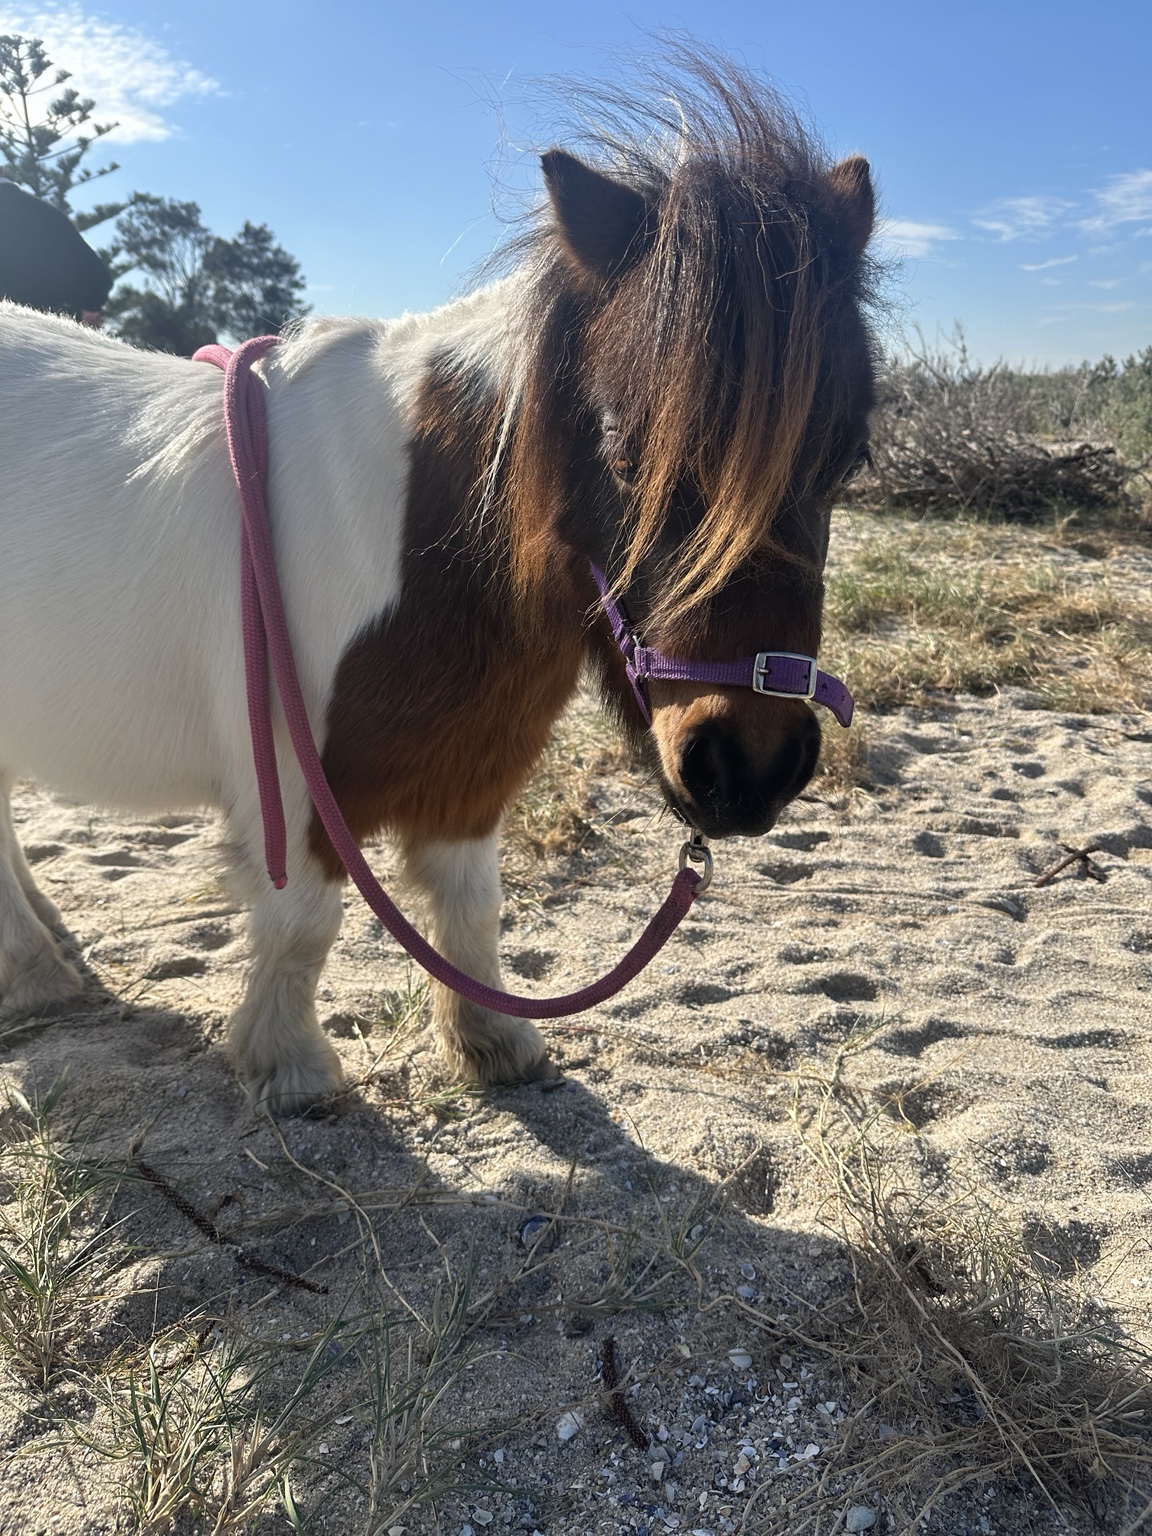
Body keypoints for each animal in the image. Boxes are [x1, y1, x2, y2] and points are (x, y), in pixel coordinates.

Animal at [0, 61, 877, 1113]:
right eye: (627, 451)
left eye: (850, 459)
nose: (747, 767)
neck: (419, 545)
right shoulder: (294, 788)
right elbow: (302, 926)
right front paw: (290, 1065)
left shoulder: (471, 769)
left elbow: (471, 912)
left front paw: (490, 1041)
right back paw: (37, 973)